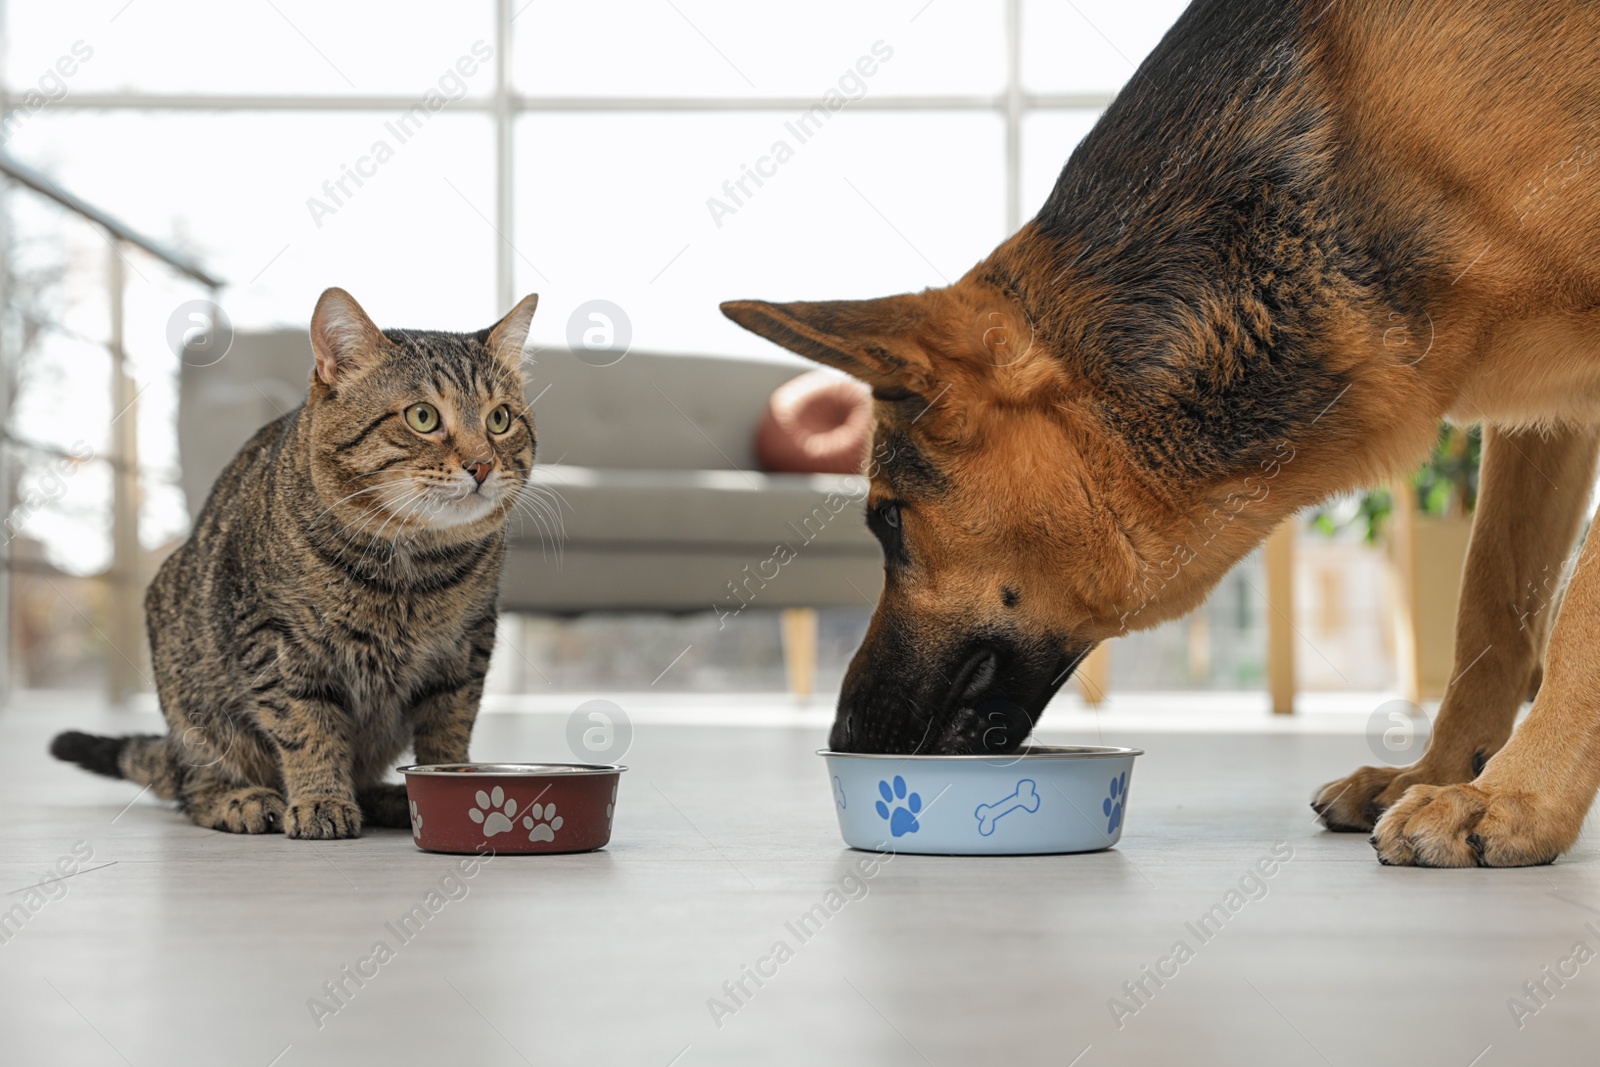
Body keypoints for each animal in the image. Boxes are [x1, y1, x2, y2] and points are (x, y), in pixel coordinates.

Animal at [50, 287, 540, 838]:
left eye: (499, 419)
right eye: (423, 417)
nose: (482, 464)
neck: (410, 567)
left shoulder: (469, 645)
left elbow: (448, 733)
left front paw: (451, 789)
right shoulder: (275, 643)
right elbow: (309, 729)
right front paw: (321, 799)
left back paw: (385, 798)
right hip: (195, 706)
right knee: (194, 788)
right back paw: (242, 800)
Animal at [723, 0, 1600, 870]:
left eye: (888, 520)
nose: (845, 736)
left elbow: (1578, 613)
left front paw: (1512, 798)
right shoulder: (1546, 420)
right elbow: (1491, 603)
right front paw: (1441, 772)